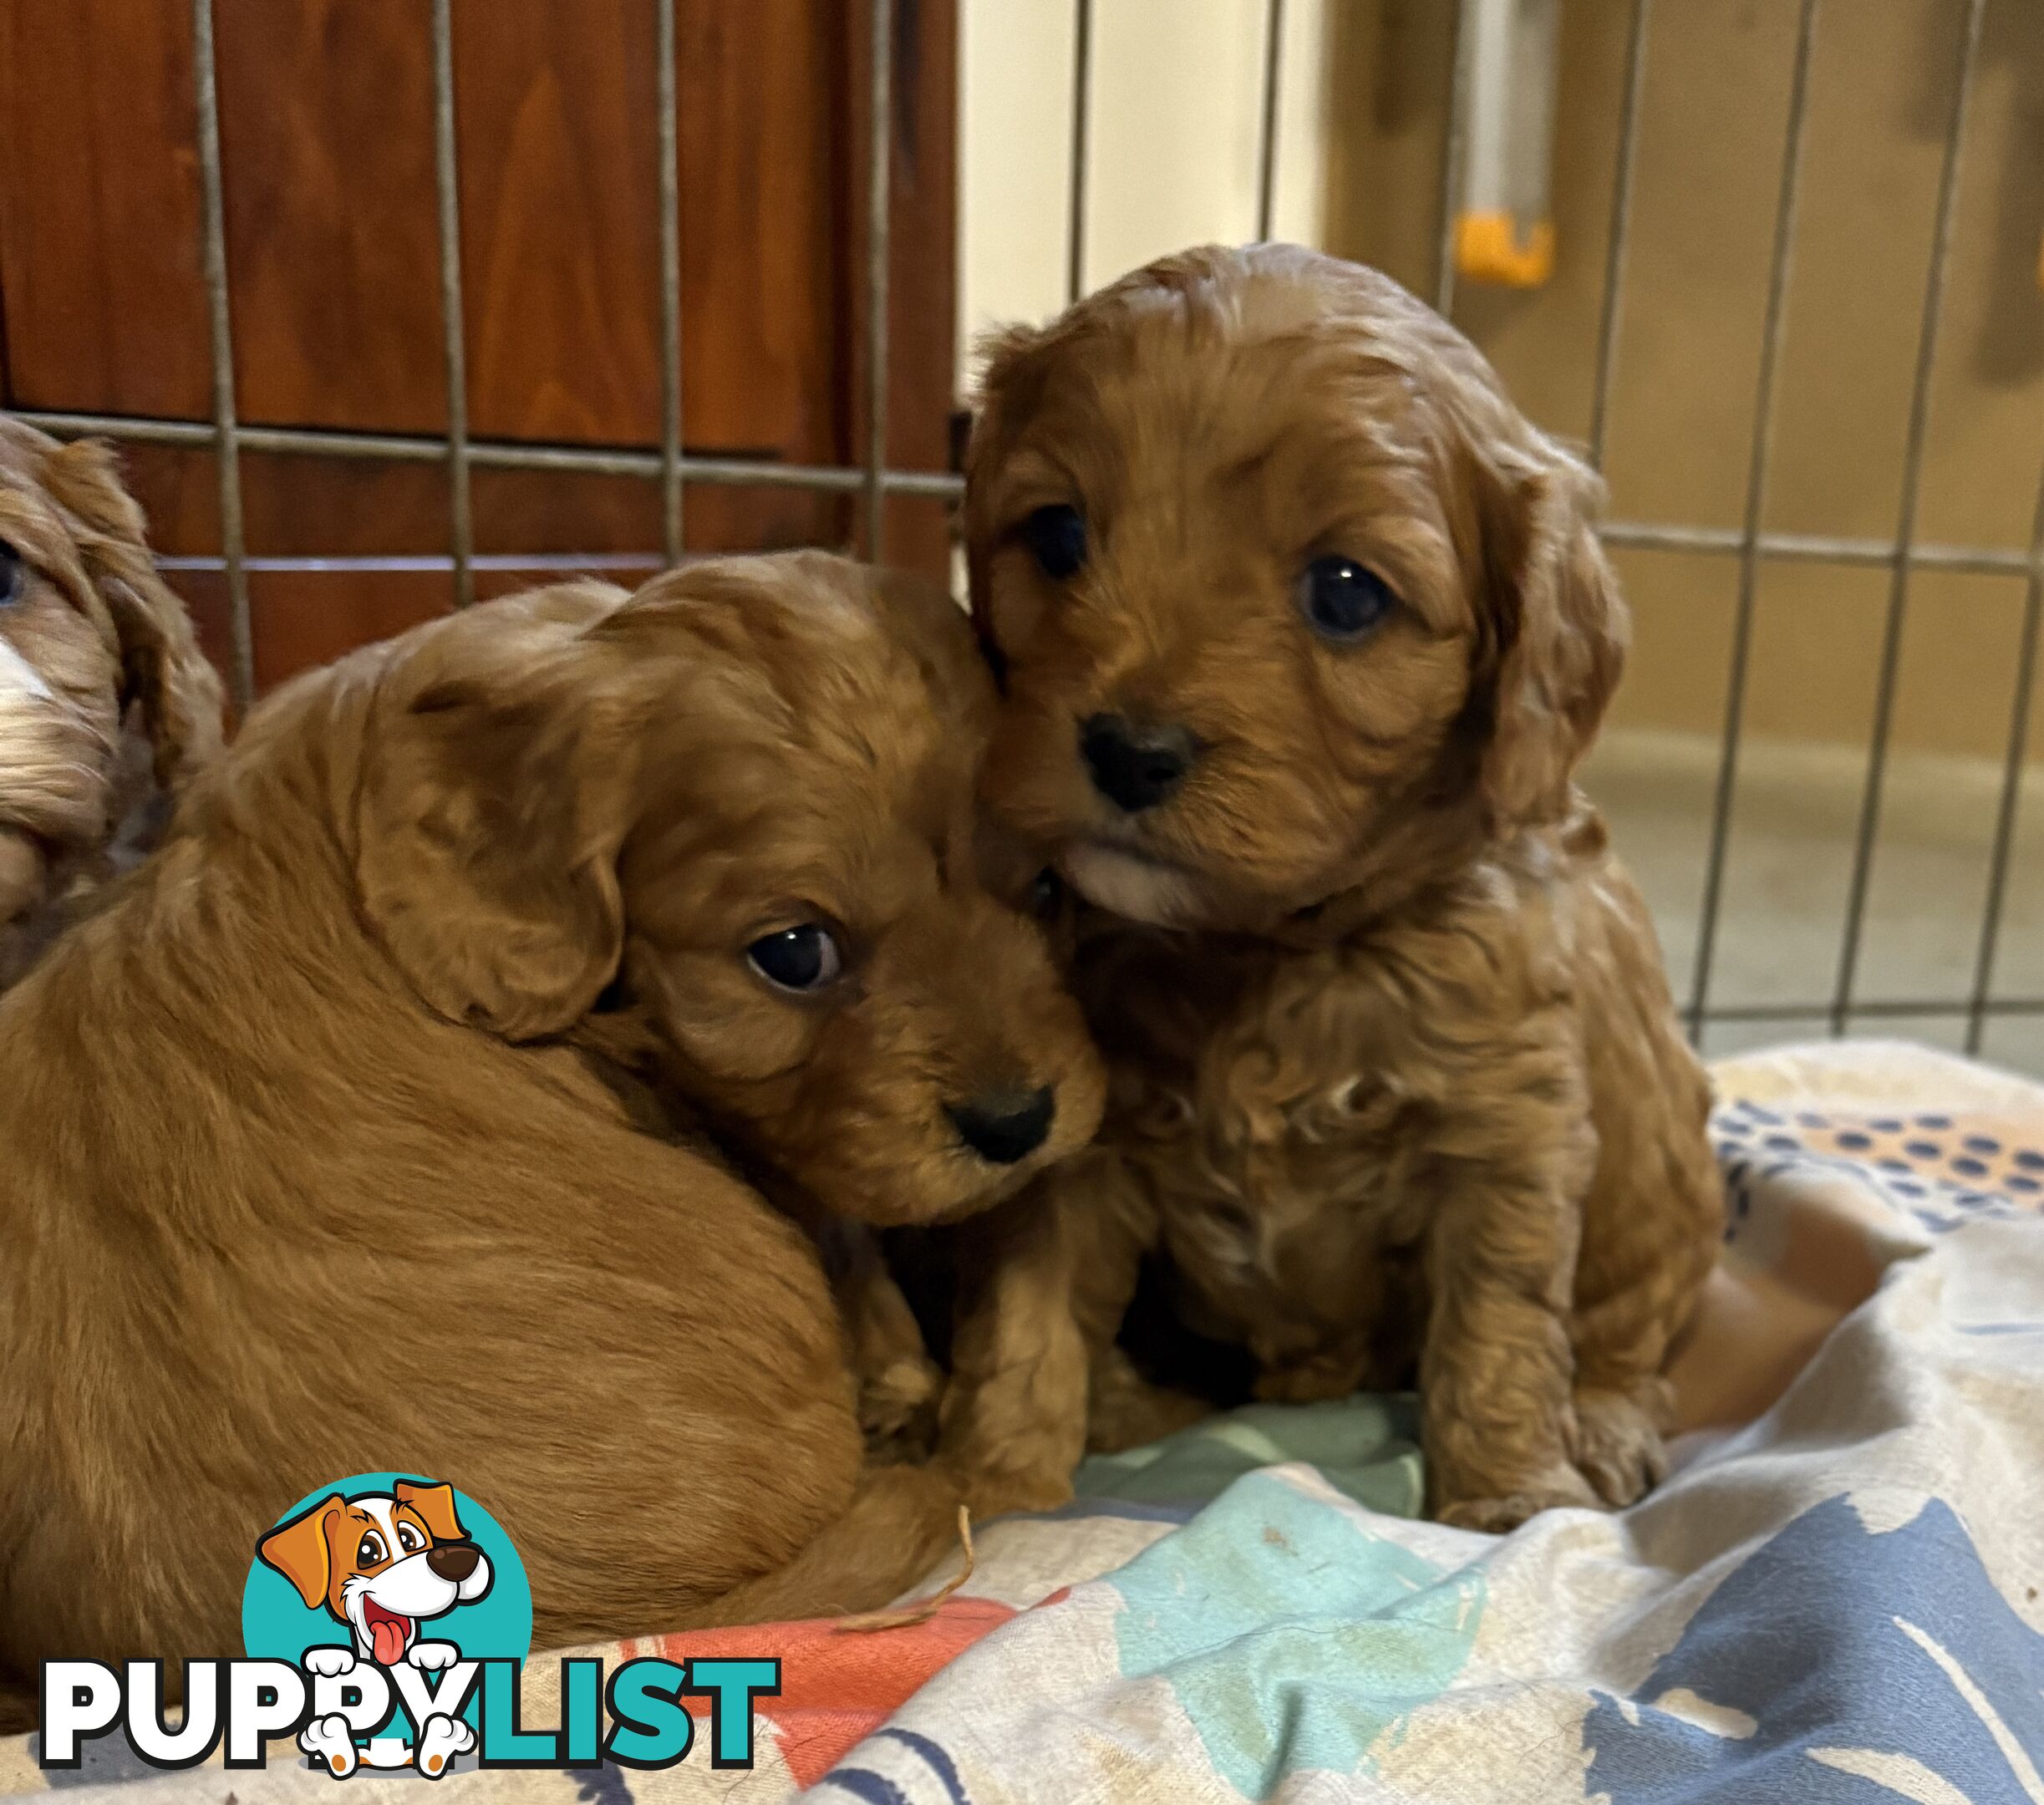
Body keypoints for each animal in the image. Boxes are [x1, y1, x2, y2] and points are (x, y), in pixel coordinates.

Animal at [940, 247, 1725, 1528]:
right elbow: (1028, 1317)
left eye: (1347, 593)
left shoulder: (1509, 1138)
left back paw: (1604, 1426)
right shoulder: (1080, 1144)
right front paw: (995, 1491)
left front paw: (1507, 1499)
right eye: (1056, 535)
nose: (1128, 751)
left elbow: (1500, 1330)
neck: (1263, 954)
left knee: (1626, 1337)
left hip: (1662, 1190)